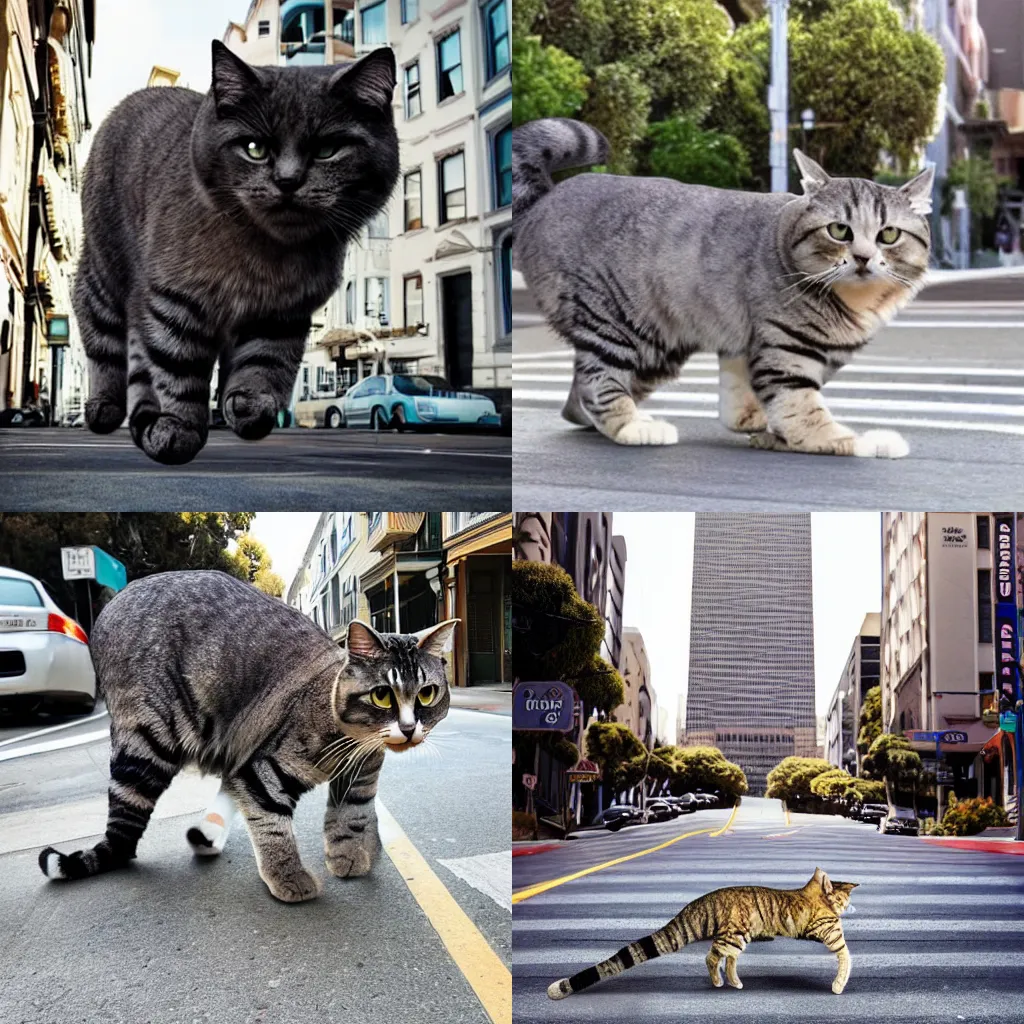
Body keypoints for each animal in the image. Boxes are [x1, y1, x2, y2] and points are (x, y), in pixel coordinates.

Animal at [37, 573, 458, 901]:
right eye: (382, 695)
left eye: (426, 693)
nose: (409, 728)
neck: (352, 741)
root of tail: (112, 603)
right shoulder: (265, 771)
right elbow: (271, 823)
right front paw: (288, 876)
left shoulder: (360, 779)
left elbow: (353, 816)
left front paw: (352, 853)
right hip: (149, 742)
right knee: (124, 830)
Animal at [76, 40, 399, 464]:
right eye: (254, 148)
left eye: (328, 149)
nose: (288, 181)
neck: (268, 255)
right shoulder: (174, 301)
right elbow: (178, 371)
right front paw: (180, 427)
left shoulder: (280, 315)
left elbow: (262, 363)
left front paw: (249, 405)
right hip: (103, 275)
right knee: (103, 341)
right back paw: (106, 406)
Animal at [512, 116, 937, 460]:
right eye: (839, 230)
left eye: (889, 235)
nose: (864, 257)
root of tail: (544, 201)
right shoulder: (787, 355)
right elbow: (806, 416)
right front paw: (863, 441)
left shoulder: (749, 346)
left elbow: (745, 395)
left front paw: (756, 425)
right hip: (618, 324)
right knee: (596, 382)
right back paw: (632, 426)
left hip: (659, 349)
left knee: (576, 400)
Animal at [544, 868, 856, 995]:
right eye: (843, 899)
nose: (849, 906)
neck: (816, 894)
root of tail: (705, 899)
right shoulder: (832, 935)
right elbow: (846, 958)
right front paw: (839, 985)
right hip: (736, 934)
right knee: (713, 956)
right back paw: (723, 982)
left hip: (735, 936)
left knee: (723, 958)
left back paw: (729, 981)